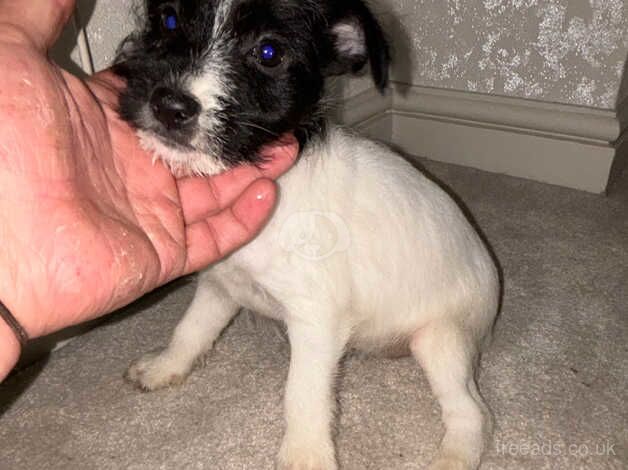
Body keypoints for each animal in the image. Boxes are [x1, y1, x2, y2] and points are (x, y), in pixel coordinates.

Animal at [115, 1, 500, 468]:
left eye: (268, 52)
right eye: (169, 20)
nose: (169, 106)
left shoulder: (315, 319)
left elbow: (302, 395)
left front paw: (304, 454)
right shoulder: (220, 287)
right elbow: (190, 331)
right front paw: (163, 367)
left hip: (441, 340)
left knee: (473, 412)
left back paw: (455, 455)